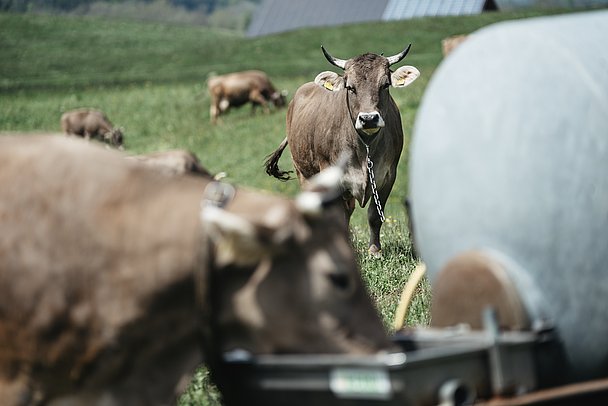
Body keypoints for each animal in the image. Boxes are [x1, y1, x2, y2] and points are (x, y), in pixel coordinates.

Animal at [264, 44, 420, 254]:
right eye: (350, 87)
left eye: (385, 85)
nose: (369, 118)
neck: (365, 148)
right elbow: (339, 216)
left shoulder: (388, 175)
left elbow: (374, 215)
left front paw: (374, 251)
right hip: (303, 173)